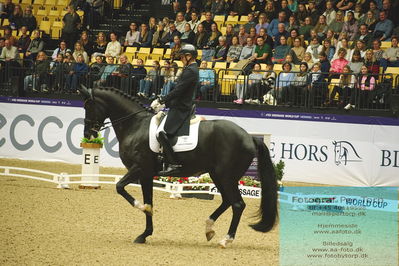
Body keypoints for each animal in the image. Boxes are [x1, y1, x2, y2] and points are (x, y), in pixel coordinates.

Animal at [81, 87, 278, 247]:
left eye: (89, 106)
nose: (88, 134)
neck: (135, 125)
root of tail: (249, 137)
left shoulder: (139, 168)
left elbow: (120, 187)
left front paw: (141, 208)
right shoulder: (146, 175)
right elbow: (149, 201)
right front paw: (144, 234)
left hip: (226, 176)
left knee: (237, 204)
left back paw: (226, 239)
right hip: (218, 174)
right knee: (227, 201)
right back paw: (209, 229)